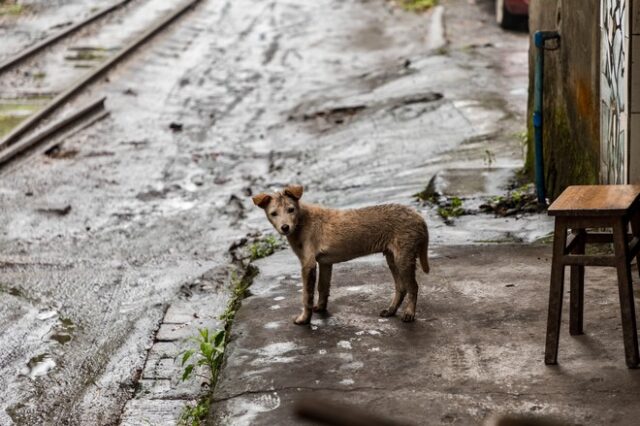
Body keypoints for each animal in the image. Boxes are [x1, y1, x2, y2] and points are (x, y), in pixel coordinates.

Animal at [251, 185, 430, 324]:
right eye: (273, 213)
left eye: (291, 209)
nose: (285, 227)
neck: (302, 222)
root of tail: (419, 217)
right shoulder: (324, 262)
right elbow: (323, 288)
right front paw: (320, 308)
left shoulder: (308, 264)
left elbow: (307, 295)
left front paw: (304, 319)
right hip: (392, 257)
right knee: (401, 287)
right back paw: (390, 310)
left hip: (404, 256)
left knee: (413, 286)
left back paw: (409, 313)